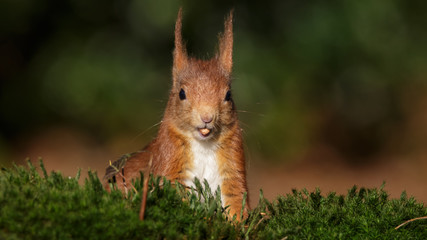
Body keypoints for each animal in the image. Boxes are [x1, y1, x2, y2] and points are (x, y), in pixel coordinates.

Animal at [105, 9, 249, 218]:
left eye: (228, 95)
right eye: (182, 93)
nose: (207, 117)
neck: (203, 146)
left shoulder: (232, 167)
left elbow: (236, 198)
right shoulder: (169, 161)